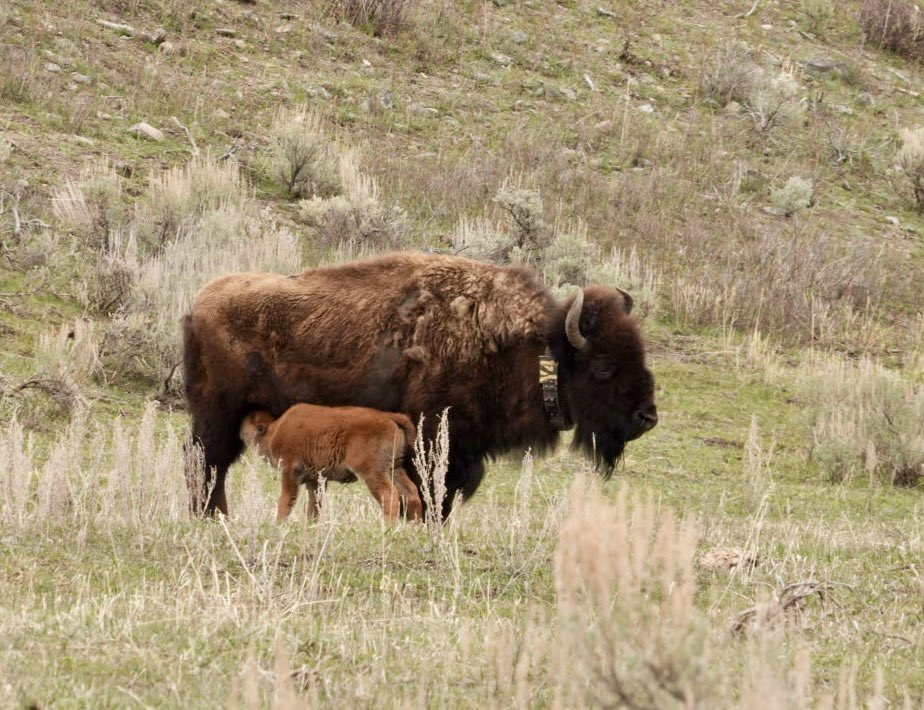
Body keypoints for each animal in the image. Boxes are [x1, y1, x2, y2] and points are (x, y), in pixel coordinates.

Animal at [239, 404, 422, 522]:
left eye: (253, 421)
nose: (241, 424)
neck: (273, 430)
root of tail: (388, 416)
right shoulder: (315, 480)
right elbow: (313, 506)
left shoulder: (290, 472)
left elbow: (286, 502)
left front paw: (278, 525)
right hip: (394, 468)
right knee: (411, 492)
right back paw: (416, 527)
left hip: (373, 473)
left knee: (390, 496)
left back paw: (388, 528)